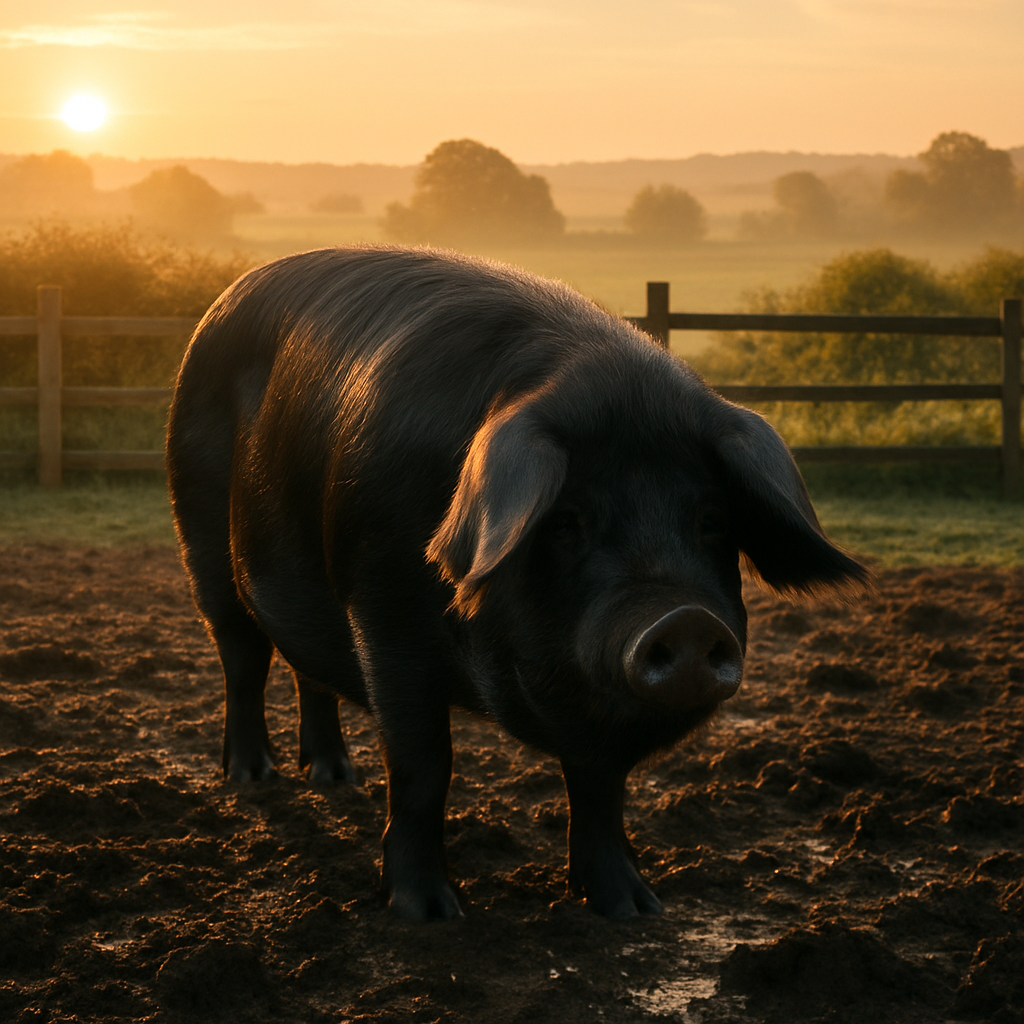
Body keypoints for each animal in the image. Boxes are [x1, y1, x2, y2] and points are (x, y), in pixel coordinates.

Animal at [166, 245, 865, 922]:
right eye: (565, 520)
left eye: (714, 520)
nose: (684, 619)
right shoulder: (383, 616)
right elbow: (423, 765)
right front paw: (429, 914)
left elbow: (601, 787)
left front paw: (636, 910)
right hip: (200, 541)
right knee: (243, 659)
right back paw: (251, 778)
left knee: (309, 670)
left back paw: (336, 777)